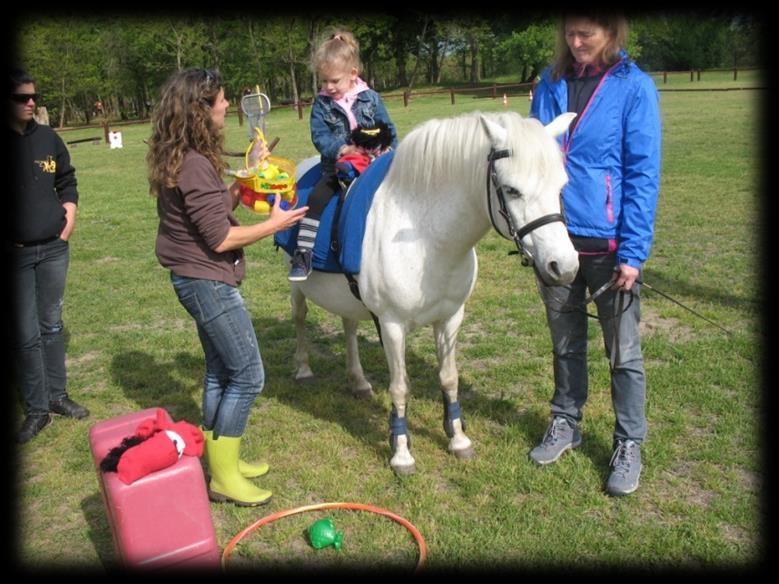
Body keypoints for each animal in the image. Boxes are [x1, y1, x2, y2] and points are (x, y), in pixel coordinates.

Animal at [288, 109, 580, 474]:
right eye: (512, 191)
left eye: (561, 186)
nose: (564, 266)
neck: (427, 238)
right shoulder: (392, 326)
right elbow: (400, 388)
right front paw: (401, 453)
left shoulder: (451, 318)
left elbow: (449, 378)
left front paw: (458, 439)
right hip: (298, 289)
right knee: (300, 318)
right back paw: (303, 368)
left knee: (349, 326)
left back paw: (358, 381)